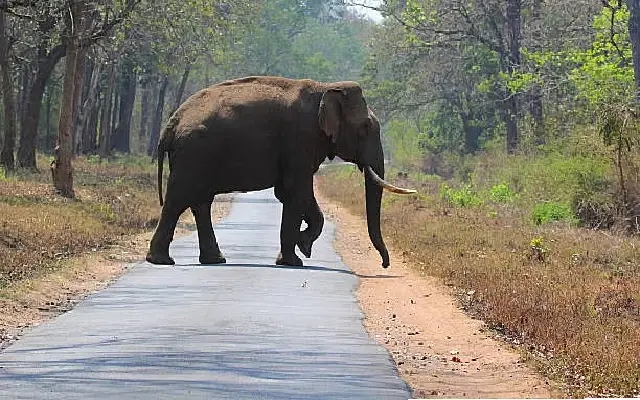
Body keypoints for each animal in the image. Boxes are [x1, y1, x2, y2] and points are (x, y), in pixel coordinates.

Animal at [145, 76, 415, 268]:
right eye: (365, 127)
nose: (385, 264)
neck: (325, 88)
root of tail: (171, 123)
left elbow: (289, 192)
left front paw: (301, 247)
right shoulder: (300, 138)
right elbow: (297, 191)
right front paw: (297, 257)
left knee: (200, 202)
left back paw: (214, 260)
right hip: (195, 153)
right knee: (179, 199)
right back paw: (162, 261)